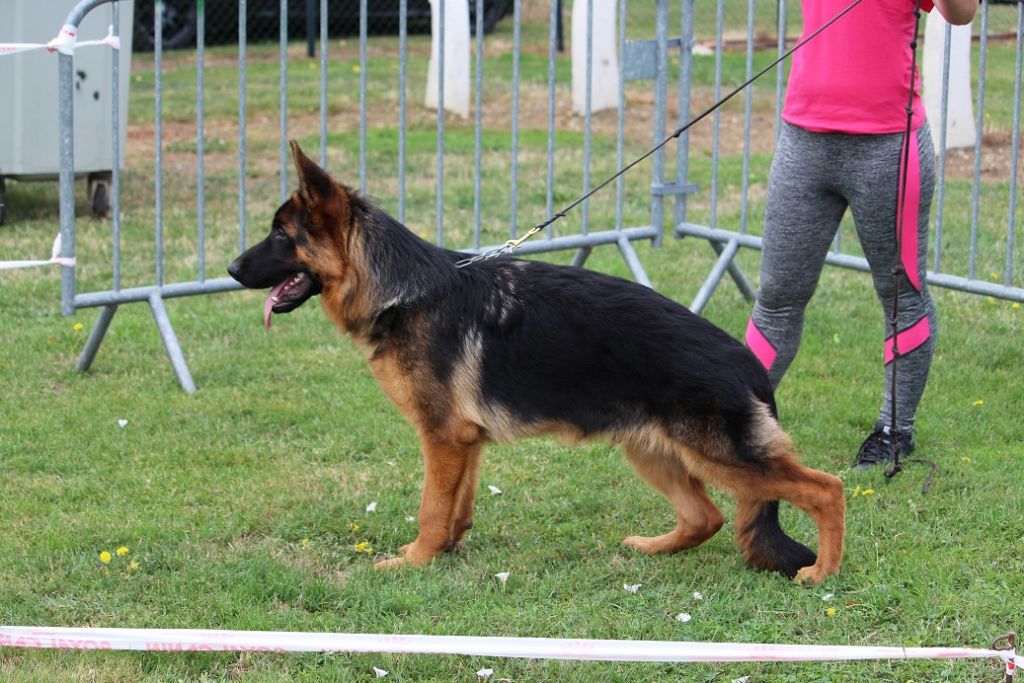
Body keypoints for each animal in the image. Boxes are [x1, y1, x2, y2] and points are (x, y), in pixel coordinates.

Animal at [228, 141, 843, 585]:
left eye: (280, 234)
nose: (231, 270)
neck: (403, 291)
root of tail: (748, 362)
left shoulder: (442, 437)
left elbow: (431, 507)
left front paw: (415, 562)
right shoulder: (464, 441)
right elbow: (457, 505)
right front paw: (446, 551)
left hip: (720, 456)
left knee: (825, 488)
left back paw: (822, 573)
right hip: (650, 449)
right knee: (706, 518)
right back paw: (654, 547)